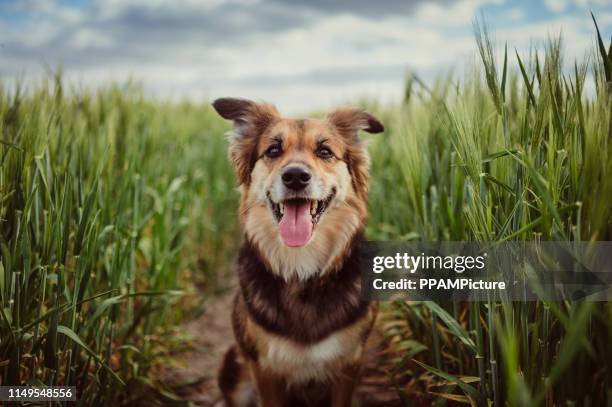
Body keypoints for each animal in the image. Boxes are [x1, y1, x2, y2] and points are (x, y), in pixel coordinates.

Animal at [212, 99, 382, 407]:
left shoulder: (349, 364)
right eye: (273, 150)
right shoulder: (264, 370)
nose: (295, 177)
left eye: (325, 151)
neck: (301, 267)